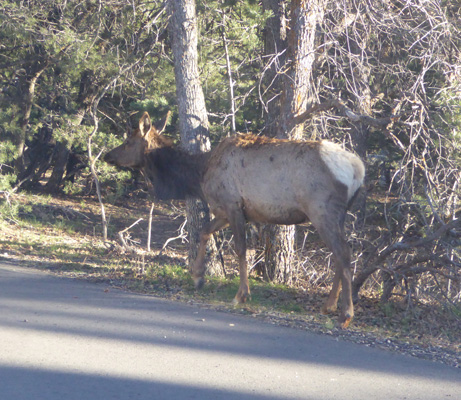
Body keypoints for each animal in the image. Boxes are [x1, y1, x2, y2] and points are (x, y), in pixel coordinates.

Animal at [103, 111, 362, 326]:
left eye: (128, 142)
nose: (107, 155)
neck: (199, 175)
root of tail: (359, 170)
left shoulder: (232, 205)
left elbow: (239, 248)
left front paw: (241, 295)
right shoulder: (223, 211)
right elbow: (204, 232)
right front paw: (197, 277)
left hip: (322, 210)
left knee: (343, 253)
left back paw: (346, 314)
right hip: (337, 214)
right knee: (340, 254)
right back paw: (328, 306)